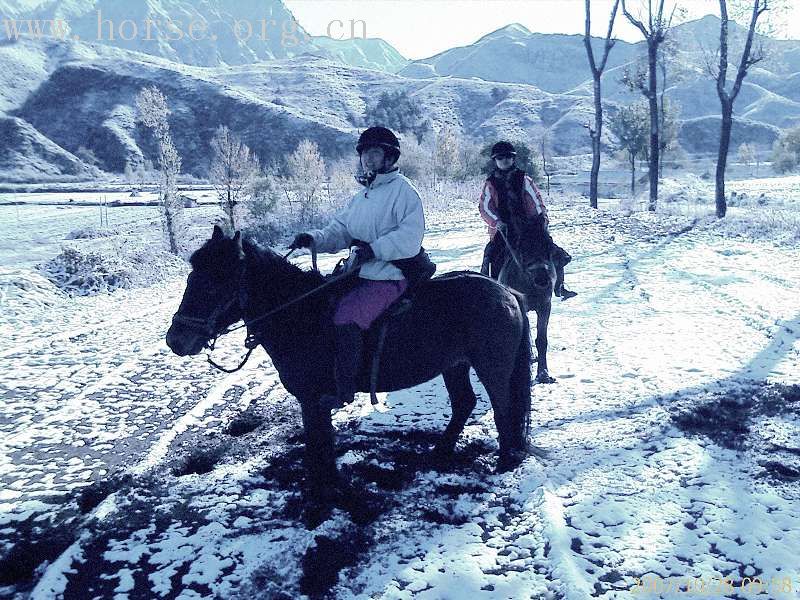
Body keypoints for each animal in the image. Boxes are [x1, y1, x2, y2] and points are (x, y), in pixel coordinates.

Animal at [166, 225, 532, 492]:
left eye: (213, 283)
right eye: (191, 278)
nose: (175, 340)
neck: (301, 315)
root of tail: (506, 293)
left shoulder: (312, 399)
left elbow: (318, 445)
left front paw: (322, 491)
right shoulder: (313, 403)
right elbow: (321, 444)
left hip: (491, 368)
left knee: (502, 408)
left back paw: (504, 461)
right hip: (454, 365)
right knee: (464, 403)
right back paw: (442, 451)